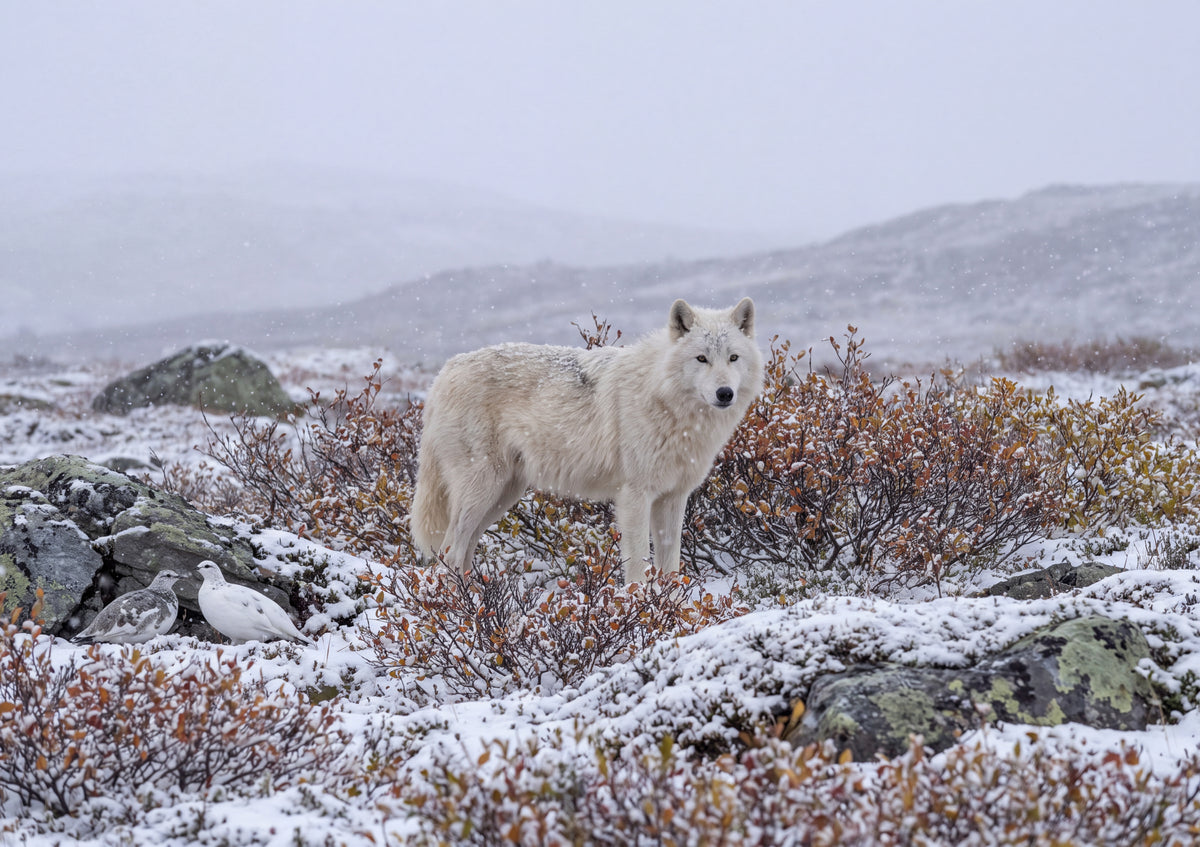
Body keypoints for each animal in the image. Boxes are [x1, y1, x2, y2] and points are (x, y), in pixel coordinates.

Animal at [410, 298, 763, 582]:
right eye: (702, 359)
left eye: (733, 358)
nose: (725, 393)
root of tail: (443, 373)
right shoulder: (634, 496)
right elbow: (638, 565)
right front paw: (641, 610)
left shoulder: (673, 498)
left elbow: (670, 567)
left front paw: (671, 610)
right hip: (483, 491)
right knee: (449, 552)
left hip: (502, 496)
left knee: (463, 553)